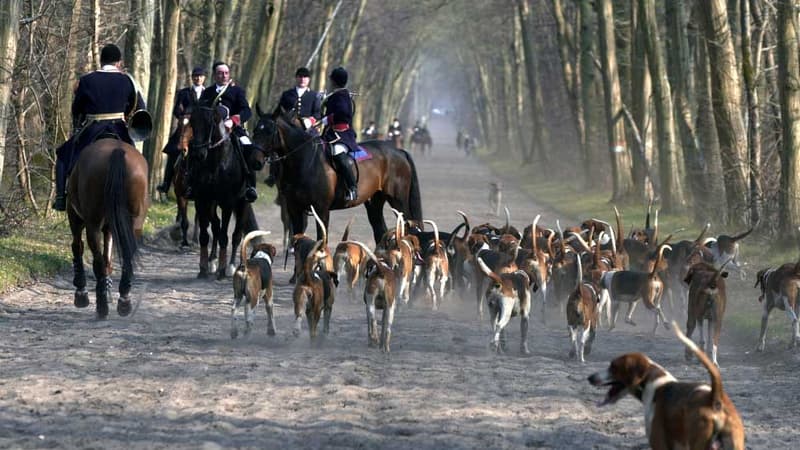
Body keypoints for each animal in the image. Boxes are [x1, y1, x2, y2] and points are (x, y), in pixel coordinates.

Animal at [66, 139, 149, 318]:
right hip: (134, 223)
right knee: (126, 255)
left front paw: (81, 293)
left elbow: (78, 247)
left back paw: (101, 306)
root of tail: (117, 152)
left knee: (95, 258)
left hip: (92, 223)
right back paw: (124, 301)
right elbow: (108, 257)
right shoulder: (111, 227)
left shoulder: (75, 216)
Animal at [187, 103, 262, 278]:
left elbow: (224, 236)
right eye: (192, 122)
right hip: (212, 204)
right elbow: (204, 235)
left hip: (242, 204)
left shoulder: (228, 203)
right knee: (216, 226)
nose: (198, 154)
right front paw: (203, 268)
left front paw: (222, 269)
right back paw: (212, 261)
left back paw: (233, 266)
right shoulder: (202, 200)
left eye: (210, 124)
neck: (215, 163)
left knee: (236, 235)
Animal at [253, 105, 422, 244]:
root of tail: (398, 151)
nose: (256, 161)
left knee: (408, 227)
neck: (305, 160)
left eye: (269, 131)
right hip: (374, 201)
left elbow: (321, 240)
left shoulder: (321, 210)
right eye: (255, 130)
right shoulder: (295, 209)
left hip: (398, 200)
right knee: (380, 230)